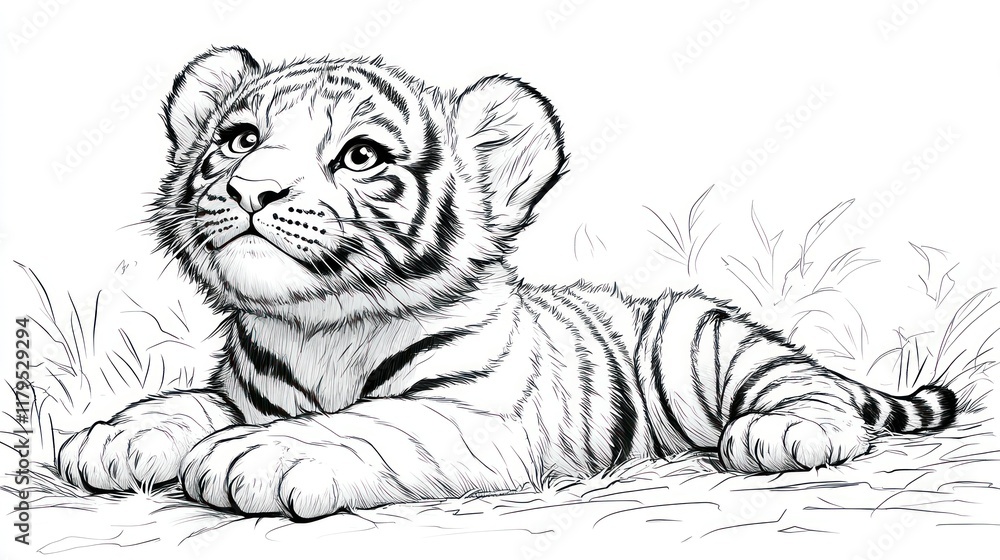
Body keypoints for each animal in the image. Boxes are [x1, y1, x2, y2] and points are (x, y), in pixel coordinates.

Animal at [56, 47, 957, 521]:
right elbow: (187, 402)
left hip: (703, 341)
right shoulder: (242, 387)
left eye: (360, 156)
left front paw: (262, 456)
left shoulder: (475, 416)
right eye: (239, 139)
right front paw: (116, 436)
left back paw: (788, 432)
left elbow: (375, 424)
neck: (317, 327)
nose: (251, 189)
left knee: (814, 389)